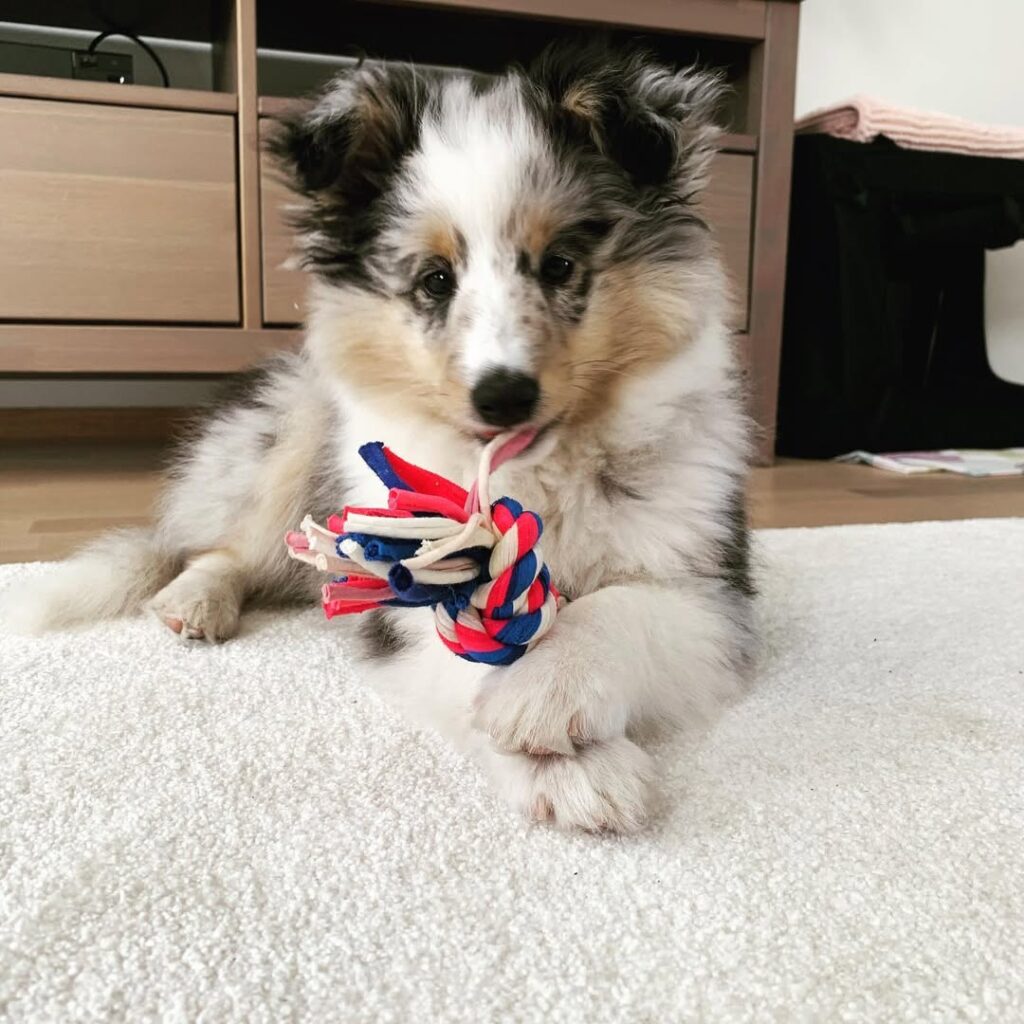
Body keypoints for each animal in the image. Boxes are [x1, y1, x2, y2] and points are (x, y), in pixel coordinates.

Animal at [4, 44, 756, 833]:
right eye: (435, 280)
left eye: (559, 265)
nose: (503, 395)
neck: (540, 473)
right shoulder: (405, 587)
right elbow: (468, 652)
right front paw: (573, 771)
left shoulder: (709, 582)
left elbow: (621, 610)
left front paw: (547, 696)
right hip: (297, 428)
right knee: (222, 548)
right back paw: (196, 601)